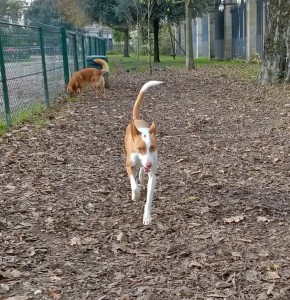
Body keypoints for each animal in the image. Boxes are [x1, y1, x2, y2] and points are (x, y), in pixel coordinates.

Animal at [124, 79, 163, 225]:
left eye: (152, 147)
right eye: (140, 148)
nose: (149, 165)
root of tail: (136, 119)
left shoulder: (152, 175)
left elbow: (149, 198)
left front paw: (147, 216)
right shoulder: (129, 165)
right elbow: (134, 185)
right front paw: (135, 195)